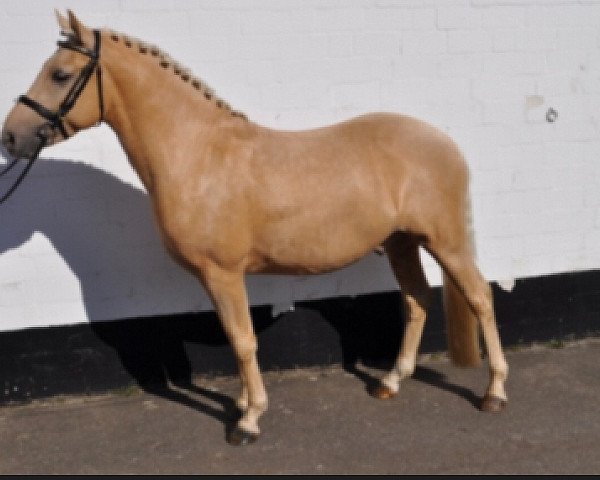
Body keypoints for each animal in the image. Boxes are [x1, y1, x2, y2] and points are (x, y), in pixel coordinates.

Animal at [1, 10, 506, 446]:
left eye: (60, 74)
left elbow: (243, 342)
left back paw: (494, 393)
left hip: (447, 243)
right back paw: (392, 381)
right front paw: (243, 403)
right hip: (401, 243)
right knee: (417, 300)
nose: (10, 136)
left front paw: (248, 421)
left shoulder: (222, 272)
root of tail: (443, 140)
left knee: (481, 297)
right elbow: (233, 336)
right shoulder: (218, 278)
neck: (198, 153)